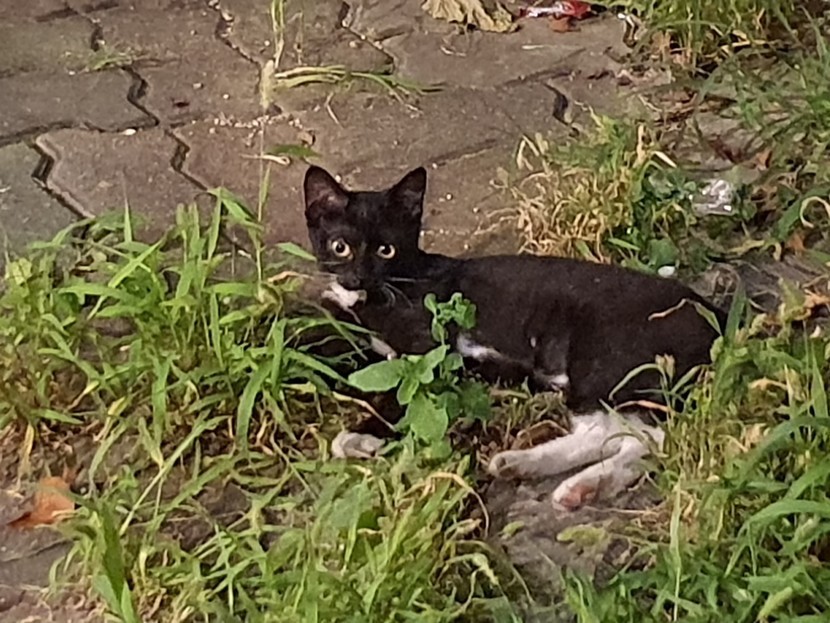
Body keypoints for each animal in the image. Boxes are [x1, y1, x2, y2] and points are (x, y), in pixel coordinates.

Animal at [303, 164, 727, 509]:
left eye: (386, 250)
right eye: (340, 246)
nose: (357, 276)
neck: (376, 297)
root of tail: (717, 315)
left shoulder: (430, 355)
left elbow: (402, 394)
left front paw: (357, 435)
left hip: (605, 363)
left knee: (651, 437)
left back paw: (582, 485)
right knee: (607, 433)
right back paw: (521, 465)